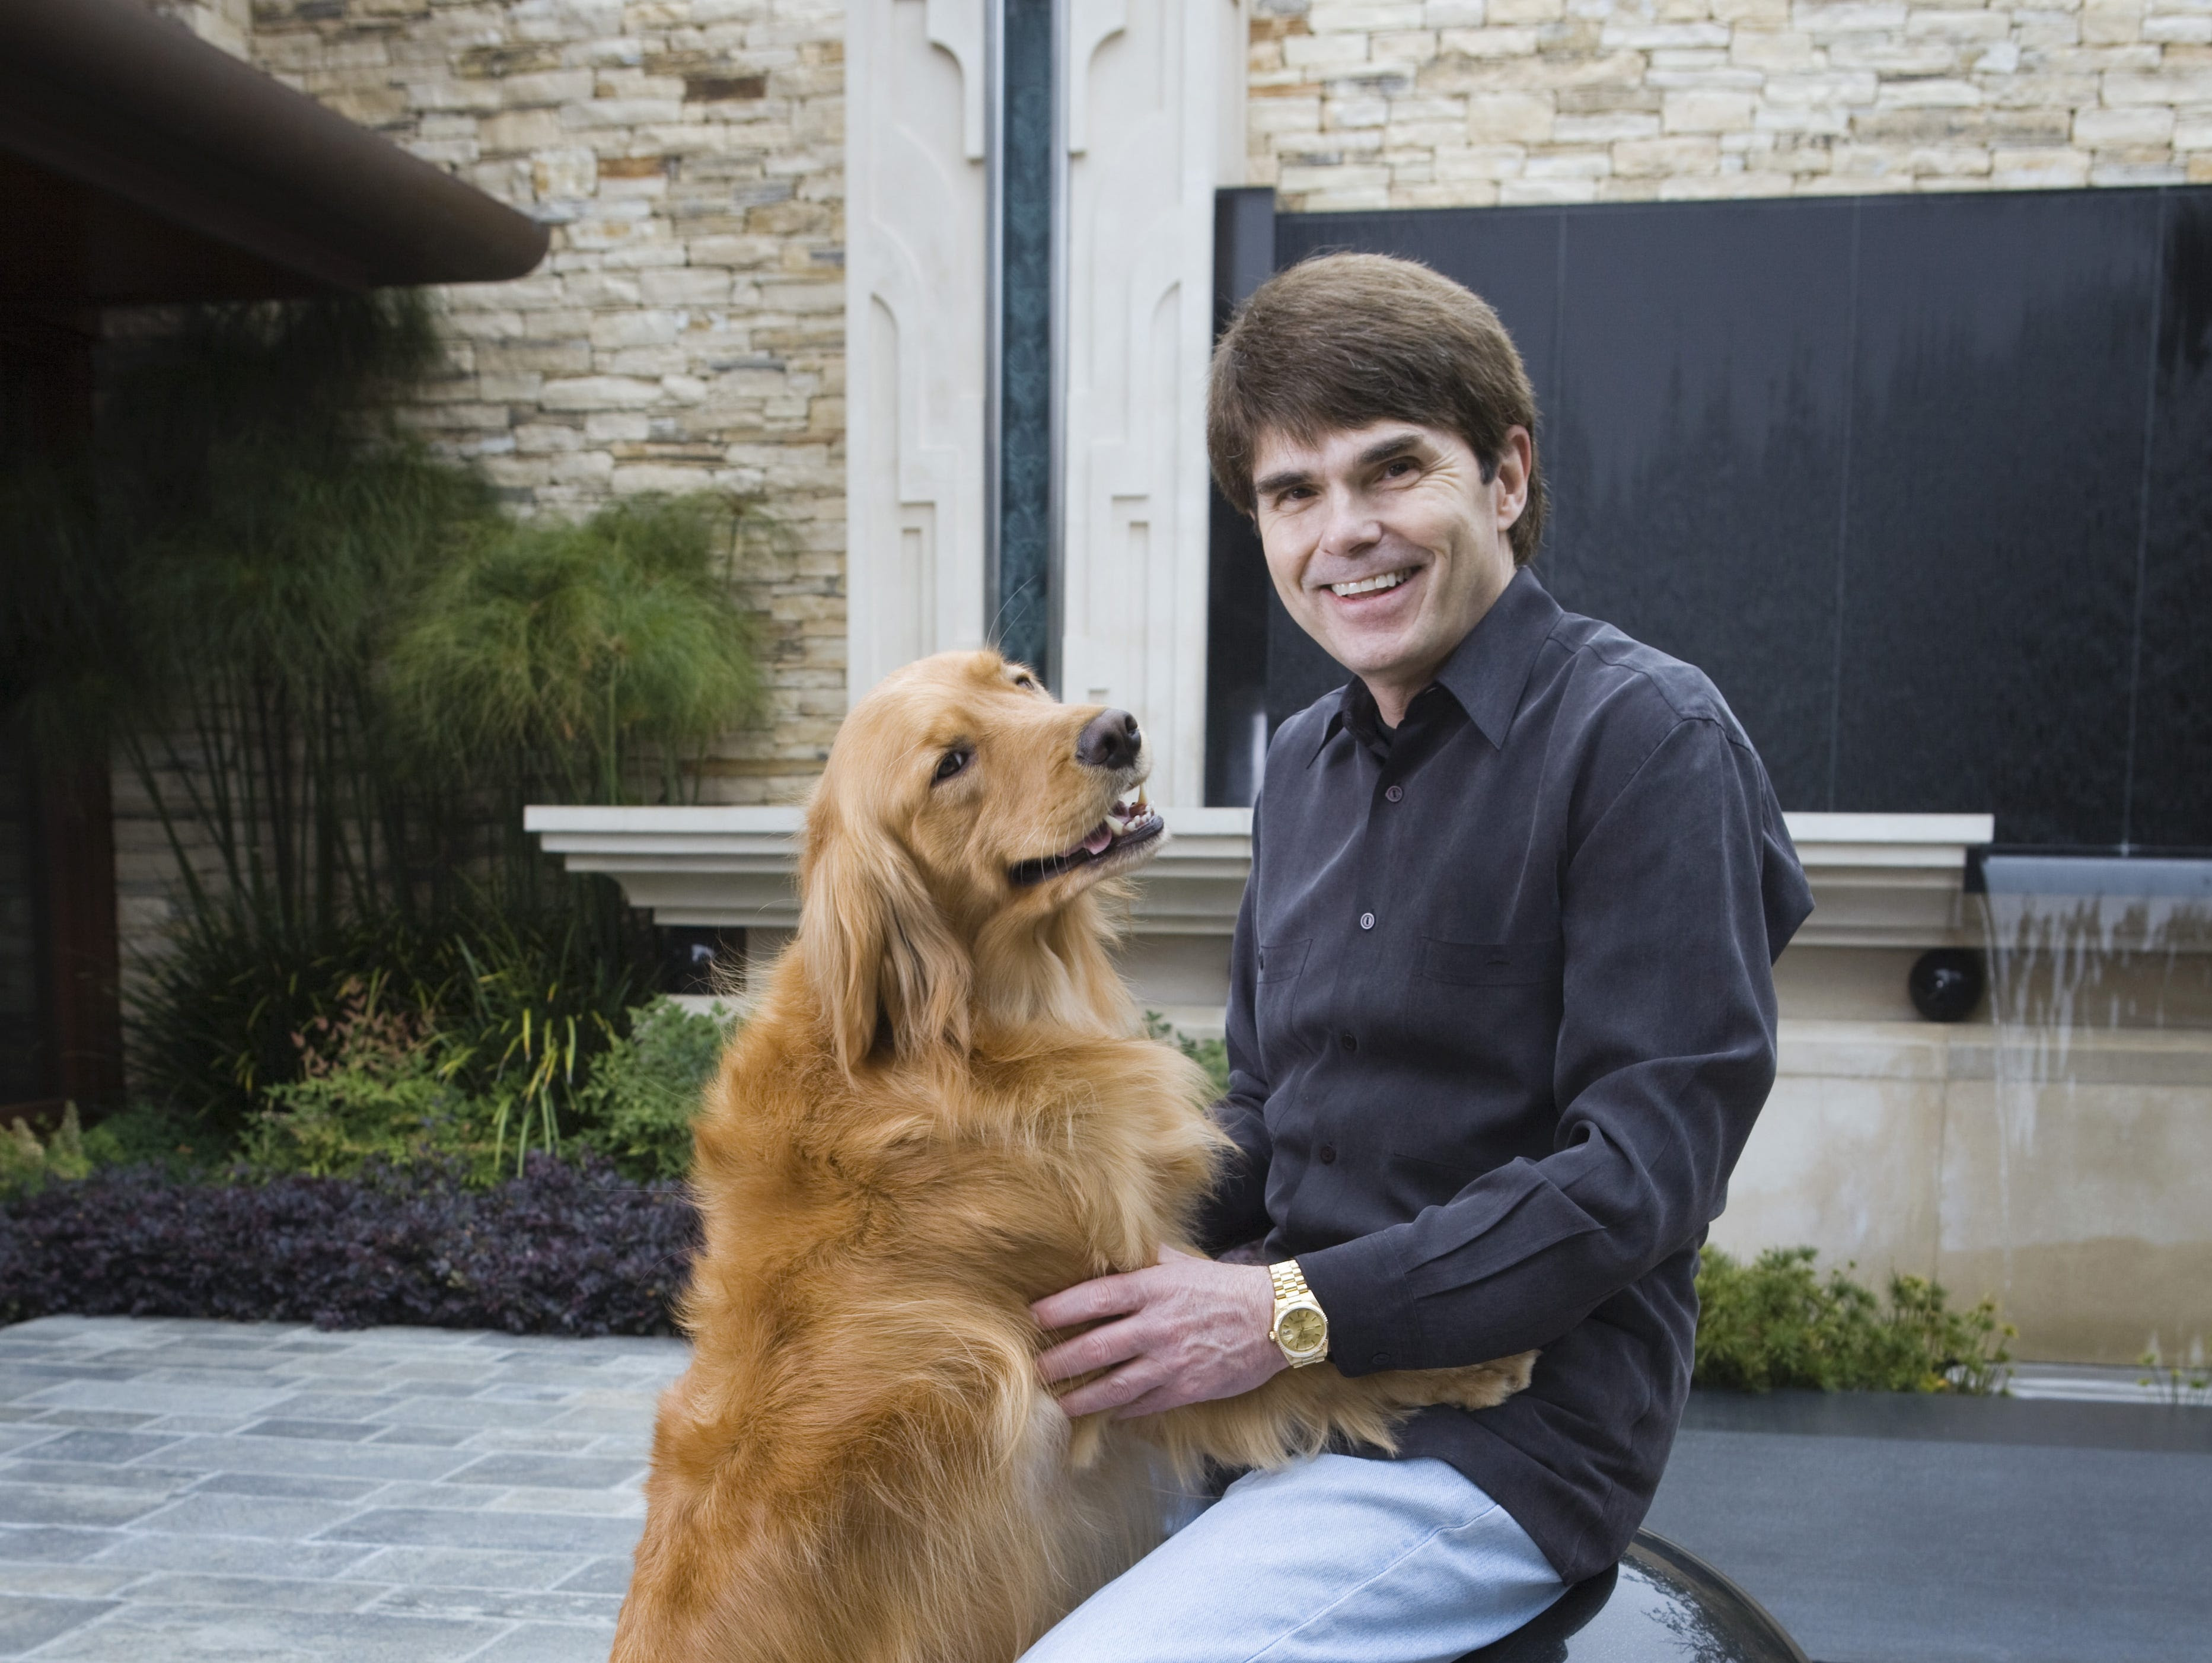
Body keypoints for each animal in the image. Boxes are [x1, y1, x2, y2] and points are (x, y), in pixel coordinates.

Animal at [614, 654, 1531, 1663]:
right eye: (951, 763)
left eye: (1017, 679)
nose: (1115, 730)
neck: (959, 1042)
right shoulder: (1118, 1355)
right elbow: (1293, 1352)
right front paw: (1470, 1359)